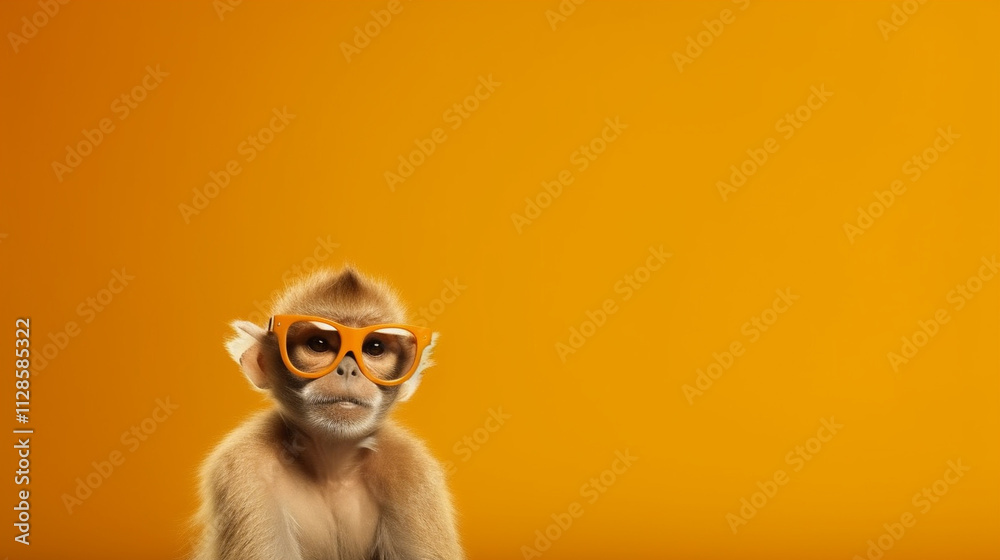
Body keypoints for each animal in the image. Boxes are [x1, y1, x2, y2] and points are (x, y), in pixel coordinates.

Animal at [192, 266, 463, 560]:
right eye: (319, 343)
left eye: (374, 348)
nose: (348, 369)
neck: (332, 472)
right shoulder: (243, 468)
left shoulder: (412, 472)